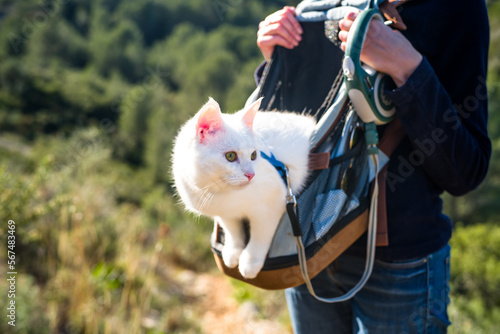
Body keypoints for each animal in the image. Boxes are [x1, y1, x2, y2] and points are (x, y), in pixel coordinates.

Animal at [171, 97, 312, 280]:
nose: (251, 174)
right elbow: (233, 230)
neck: (225, 194)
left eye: (254, 155)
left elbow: (260, 236)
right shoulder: (225, 213)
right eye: (230, 156)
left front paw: (250, 262)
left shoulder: (271, 207)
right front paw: (233, 252)